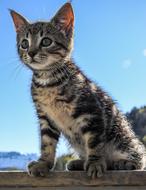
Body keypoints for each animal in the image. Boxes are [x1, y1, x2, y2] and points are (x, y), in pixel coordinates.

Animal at [10, 2, 145, 178]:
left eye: (46, 41)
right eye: (24, 44)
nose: (31, 53)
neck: (48, 80)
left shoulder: (91, 111)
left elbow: (94, 141)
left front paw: (95, 163)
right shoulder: (45, 117)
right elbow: (47, 142)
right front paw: (43, 163)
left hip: (123, 138)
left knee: (138, 158)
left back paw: (121, 163)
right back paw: (79, 163)